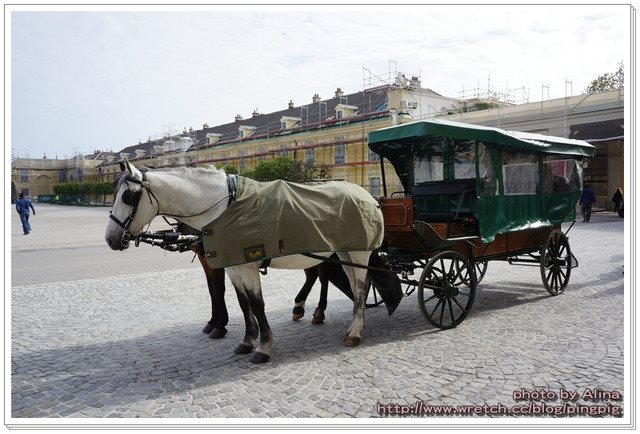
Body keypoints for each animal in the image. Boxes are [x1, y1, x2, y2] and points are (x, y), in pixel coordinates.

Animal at [105, 159, 382, 362]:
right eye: (114, 194)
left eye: (128, 197)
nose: (111, 238)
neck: (225, 209)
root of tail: (367, 195)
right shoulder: (232, 266)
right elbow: (242, 302)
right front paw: (247, 340)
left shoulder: (247, 265)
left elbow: (256, 304)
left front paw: (263, 346)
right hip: (343, 252)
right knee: (348, 283)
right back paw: (347, 323)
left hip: (359, 252)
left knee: (360, 286)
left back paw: (353, 332)